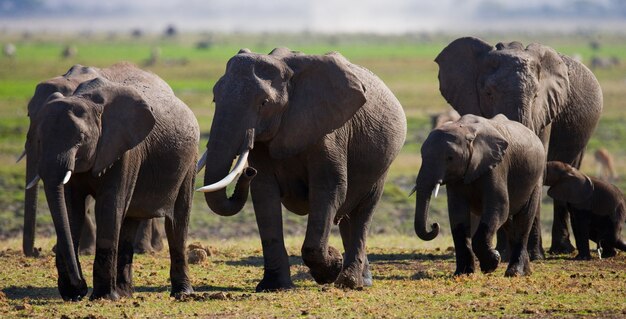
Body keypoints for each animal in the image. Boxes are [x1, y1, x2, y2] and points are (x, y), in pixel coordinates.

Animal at [26, 63, 197, 302]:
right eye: (39, 139)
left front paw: (103, 297)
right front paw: (74, 294)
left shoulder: (124, 149)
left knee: (177, 222)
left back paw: (181, 293)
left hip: (189, 161)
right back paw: (125, 293)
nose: (80, 286)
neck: (86, 100)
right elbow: (71, 209)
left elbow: (109, 207)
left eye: (81, 139)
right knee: (130, 221)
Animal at [197, 48, 408, 292]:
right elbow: (264, 194)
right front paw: (274, 287)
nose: (249, 172)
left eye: (264, 103)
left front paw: (332, 266)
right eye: (215, 97)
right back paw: (360, 280)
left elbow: (329, 189)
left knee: (363, 211)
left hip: (382, 164)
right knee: (348, 215)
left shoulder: (328, 130)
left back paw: (349, 282)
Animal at [414, 114, 540, 278]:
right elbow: (457, 214)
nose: (434, 225)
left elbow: (498, 207)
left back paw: (515, 273)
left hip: (536, 177)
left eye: (450, 158)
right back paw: (526, 271)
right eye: (422, 156)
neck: (465, 130)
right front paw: (463, 274)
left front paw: (491, 263)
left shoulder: (496, 166)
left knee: (523, 221)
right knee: (509, 222)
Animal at [434, 37, 600, 256]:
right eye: (488, 93)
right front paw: (504, 252)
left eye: (536, 95)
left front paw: (533, 255)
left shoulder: (544, 112)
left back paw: (561, 250)